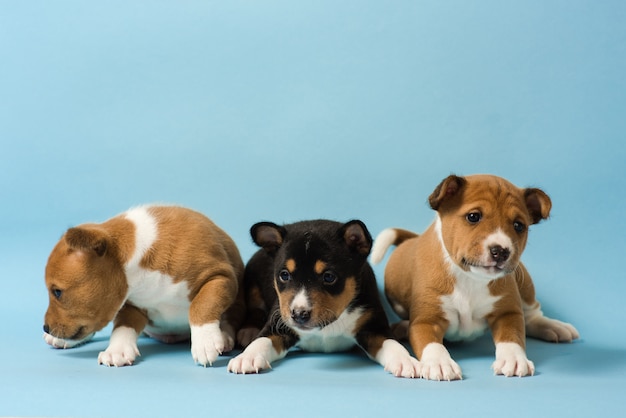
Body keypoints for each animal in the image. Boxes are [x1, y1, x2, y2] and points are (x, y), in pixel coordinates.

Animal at [42, 205, 244, 366]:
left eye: (57, 292)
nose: (45, 328)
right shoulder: (131, 306)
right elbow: (122, 327)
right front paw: (116, 350)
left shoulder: (219, 277)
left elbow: (201, 305)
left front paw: (204, 341)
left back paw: (224, 336)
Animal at [225, 220, 420, 378]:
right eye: (284, 275)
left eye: (329, 277)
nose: (299, 314)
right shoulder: (278, 323)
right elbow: (262, 340)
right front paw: (247, 357)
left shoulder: (373, 328)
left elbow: (391, 344)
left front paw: (406, 361)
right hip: (252, 281)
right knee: (255, 308)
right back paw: (248, 331)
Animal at [368, 173, 576, 378]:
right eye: (473, 216)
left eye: (518, 225)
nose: (501, 251)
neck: (470, 278)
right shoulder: (426, 321)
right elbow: (432, 345)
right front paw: (440, 363)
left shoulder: (507, 313)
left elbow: (512, 337)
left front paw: (514, 359)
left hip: (525, 285)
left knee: (532, 315)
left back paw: (554, 326)